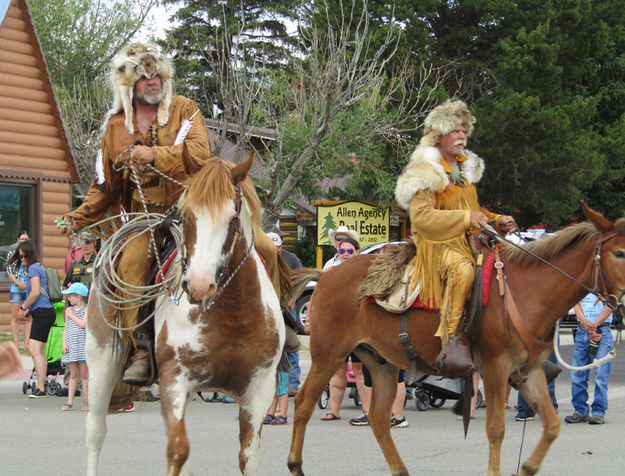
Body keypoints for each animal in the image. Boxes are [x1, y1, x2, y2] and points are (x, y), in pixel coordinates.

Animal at [85, 154, 286, 474]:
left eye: (232, 218)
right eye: (186, 216)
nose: (199, 285)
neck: (233, 314)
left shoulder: (259, 391)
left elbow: (247, 457)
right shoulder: (174, 380)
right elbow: (177, 450)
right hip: (101, 361)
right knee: (95, 431)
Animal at [288, 204, 624, 476]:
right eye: (619, 253)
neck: (523, 292)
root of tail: (326, 275)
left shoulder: (529, 373)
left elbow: (552, 425)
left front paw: (527, 467)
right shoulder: (495, 368)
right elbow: (496, 429)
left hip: (380, 363)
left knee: (379, 419)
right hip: (328, 354)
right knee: (303, 404)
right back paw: (295, 465)